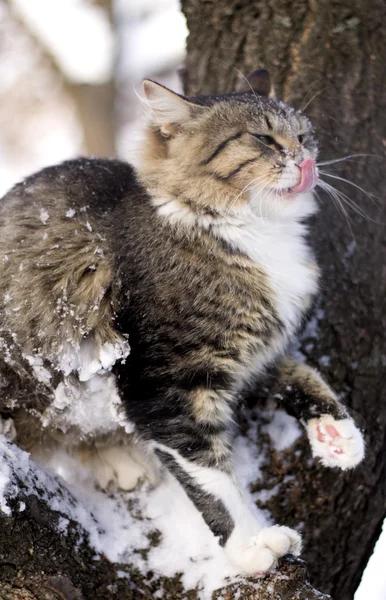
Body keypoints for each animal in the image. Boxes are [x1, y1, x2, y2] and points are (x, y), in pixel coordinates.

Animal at [0, 68, 364, 576]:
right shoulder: (164, 383)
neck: (254, 234)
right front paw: (251, 546)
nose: (306, 157)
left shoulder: (254, 351)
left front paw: (337, 435)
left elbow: (302, 374)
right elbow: (212, 478)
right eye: (264, 139)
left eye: (304, 136)